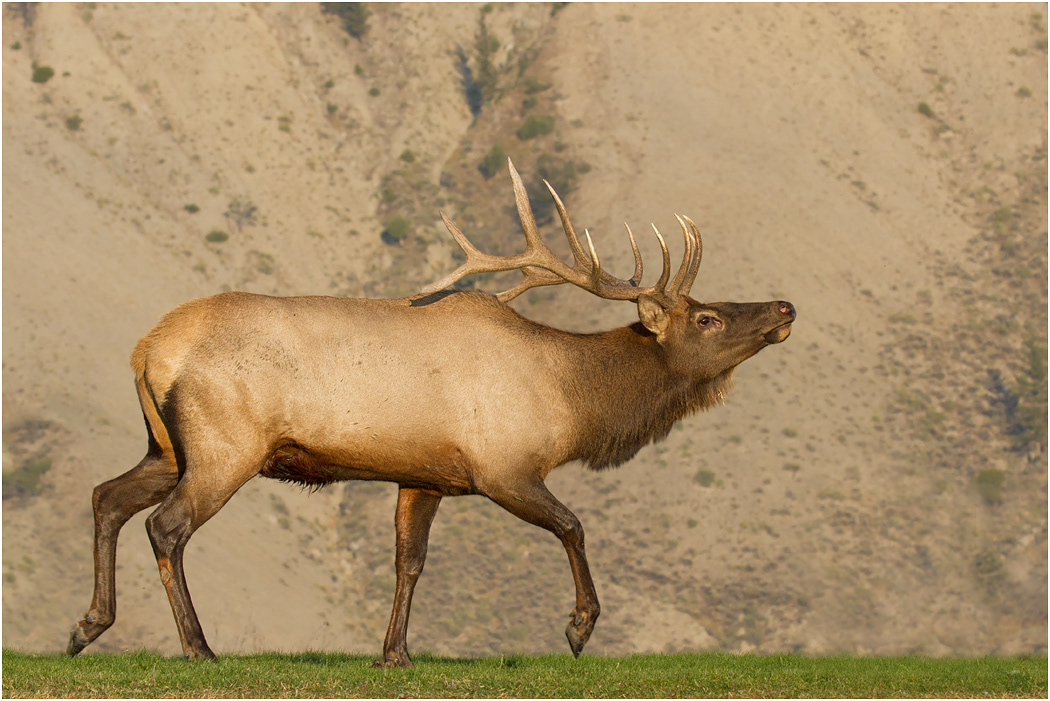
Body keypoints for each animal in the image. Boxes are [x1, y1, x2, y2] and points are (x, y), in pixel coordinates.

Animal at [68, 159, 795, 667]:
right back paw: (198, 647)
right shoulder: (503, 466)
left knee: (107, 495)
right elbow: (573, 525)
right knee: (166, 526)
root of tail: (148, 348)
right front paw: (579, 626)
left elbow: (409, 561)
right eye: (707, 317)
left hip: (168, 447)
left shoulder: (424, 476)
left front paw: (394, 652)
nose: (784, 306)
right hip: (226, 445)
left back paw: (86, 625)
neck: (572, 400)